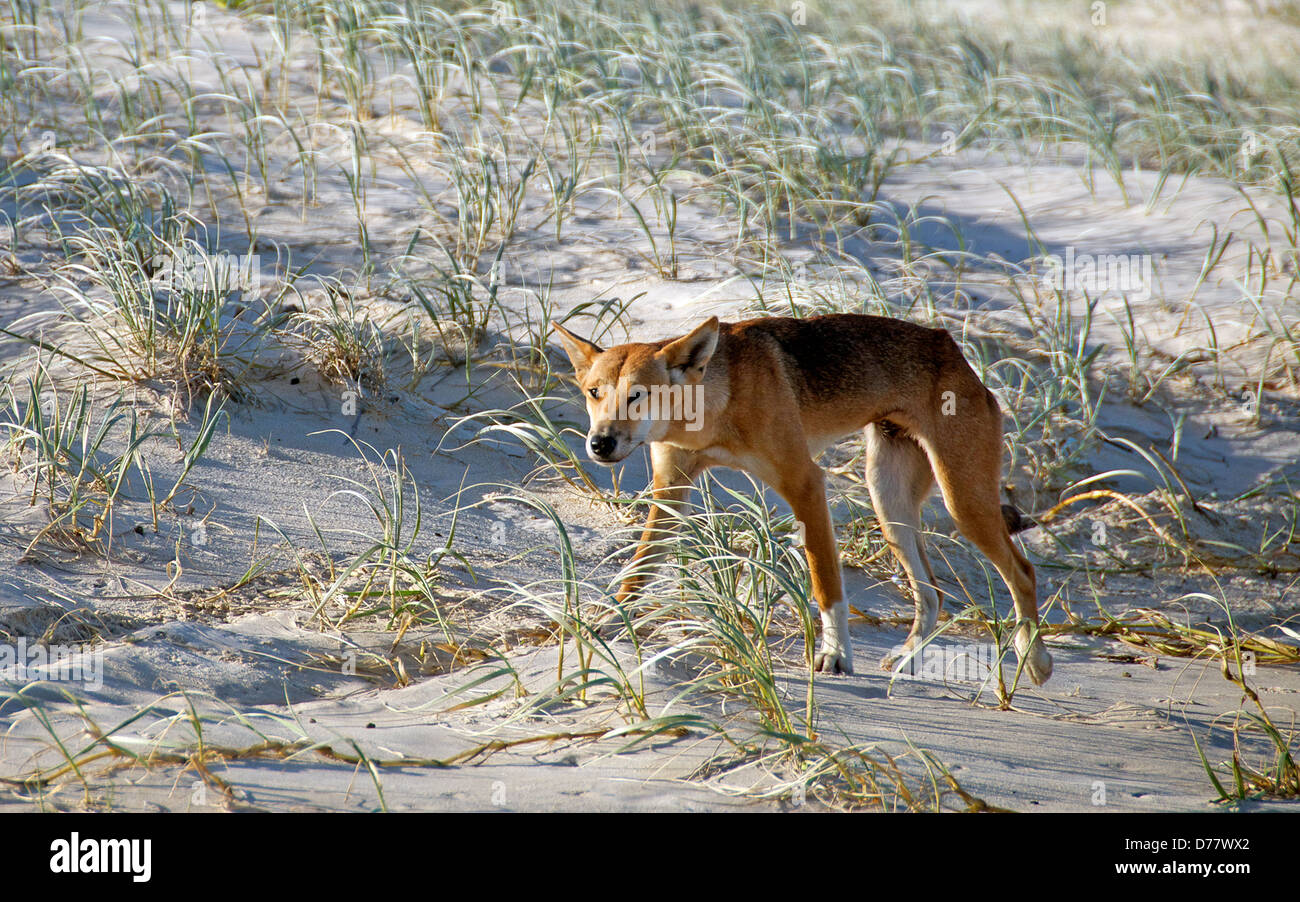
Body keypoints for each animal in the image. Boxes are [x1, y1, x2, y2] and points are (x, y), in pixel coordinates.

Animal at [553, 313, 1050, 686]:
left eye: (638, 395)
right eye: (594, 393)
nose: (600, 444)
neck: (715, 408)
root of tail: (953, 350)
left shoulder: (806, 484)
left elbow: (826, 586)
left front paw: (835, 655)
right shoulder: (671, 495)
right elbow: (634, 576)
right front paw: (602, 627)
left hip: (961, 503)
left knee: (1022, 573)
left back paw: (1034, 659)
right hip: (889, 503)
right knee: (932, 592)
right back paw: (908, 657)